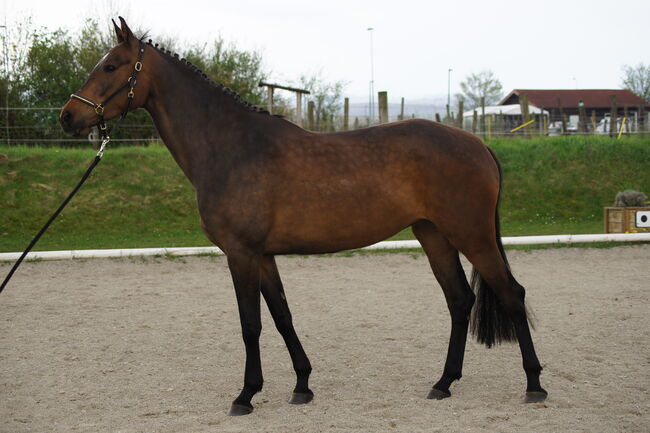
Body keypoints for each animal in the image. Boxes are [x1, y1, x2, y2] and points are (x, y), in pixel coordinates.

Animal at [60, 17, 548, 416]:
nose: (68, 116)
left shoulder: (241, 254)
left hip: (471, 235)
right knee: (460, 300)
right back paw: (443, 383)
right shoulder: (263, 255)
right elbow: (282, 317)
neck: (231, 147)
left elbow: (251, 324)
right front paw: (302, 386)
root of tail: (478, 144)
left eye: (111, 66)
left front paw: (245, 395)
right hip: (434, 235)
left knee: (512, 293)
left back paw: (534, 386)